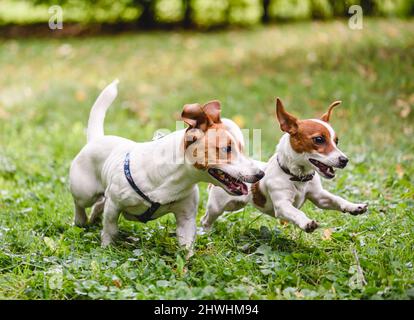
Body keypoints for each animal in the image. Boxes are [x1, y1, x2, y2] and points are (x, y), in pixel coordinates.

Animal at [67, 79, 262, 251]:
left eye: (241, 148)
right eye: (226, 149)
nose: (261, 174)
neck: (175, 179)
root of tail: (97, 138)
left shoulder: (186, 218)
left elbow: (186, 247)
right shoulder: (114, 205)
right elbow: (110, 229)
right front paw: (106, 247)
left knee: (100, 203)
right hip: (84, 191)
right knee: (80, 204)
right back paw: (81, 220)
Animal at [202, 99, 368, 234]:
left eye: (336, 141)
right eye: (319, 139)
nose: (344, 160)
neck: (298, 177)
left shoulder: (319, 197)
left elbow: (337, 199)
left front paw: (353, 206)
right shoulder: (282, 206)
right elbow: (296, 213)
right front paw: (306, 222)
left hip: (235, 205)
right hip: (218, 206)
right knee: (206, 219)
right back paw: (206, 233)